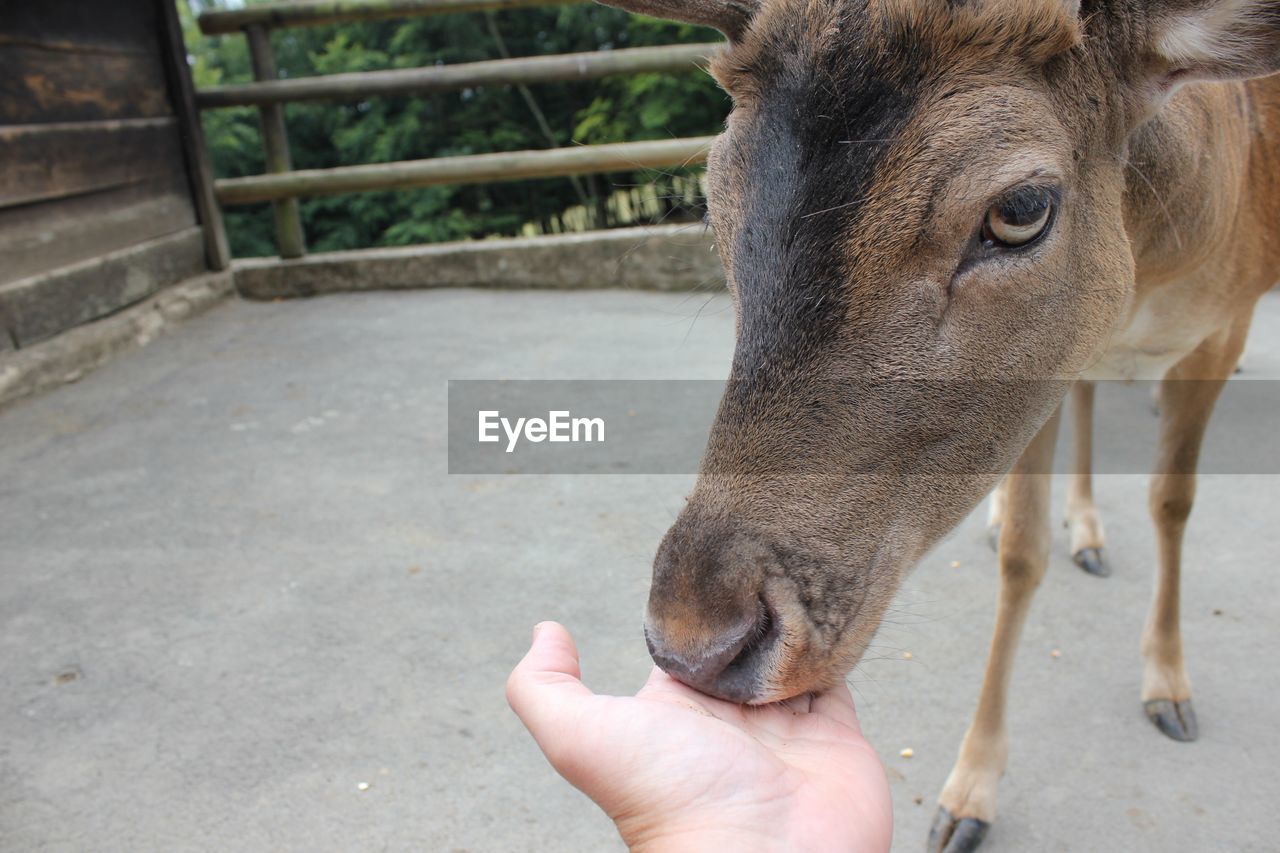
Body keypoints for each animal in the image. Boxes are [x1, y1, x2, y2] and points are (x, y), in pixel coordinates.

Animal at [599, 1, 1280, 850]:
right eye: (714, 198)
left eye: (1021, 210)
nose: (695, 639)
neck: (1156, 261)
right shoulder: (1056, 366)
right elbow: (1022, 551)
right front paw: (968, 792)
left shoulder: (1227, 323)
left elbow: (1173, 501)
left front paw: (1169, 687)